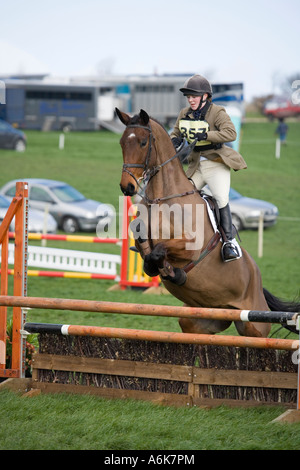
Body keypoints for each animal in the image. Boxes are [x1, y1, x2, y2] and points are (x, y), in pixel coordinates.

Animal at [116, 109, 298, 338]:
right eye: (122, 143)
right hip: (196, 322)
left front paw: (172, 272)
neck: (162, 198)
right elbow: (144, 243)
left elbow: (160, 251)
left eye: (142, 143)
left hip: (253, 326)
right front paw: (152, 267)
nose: (127, 187)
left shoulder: (189, 246)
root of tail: (258, 283)